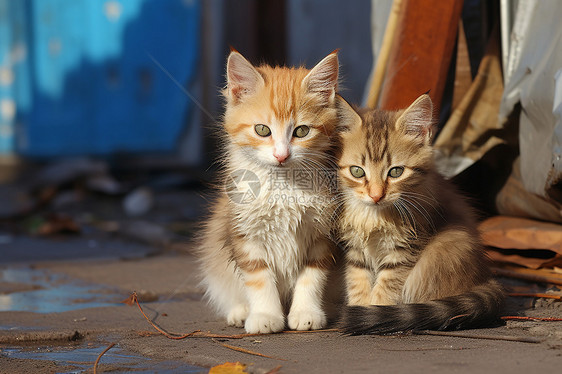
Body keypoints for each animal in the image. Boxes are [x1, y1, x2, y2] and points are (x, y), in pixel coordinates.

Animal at [199, 49, 340, 334]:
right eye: (262, 130)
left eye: (302, 131)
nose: (281, 155)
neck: (283, 183)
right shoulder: (245, 233)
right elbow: (259, 278)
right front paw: (265, 315)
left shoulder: (322, 234)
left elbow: (312, 277)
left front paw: (306, 313)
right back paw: (240, 311)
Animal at [334, 94, 500, 334]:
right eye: (357, 171)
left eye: (396, 172)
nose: (376, 196)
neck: (374, 216)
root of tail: (484, 276)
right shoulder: (356, 249)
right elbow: (358, 282)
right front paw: (361, 307)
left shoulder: (405, 250)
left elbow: (386, 287)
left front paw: (373, 312)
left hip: (445, 251)